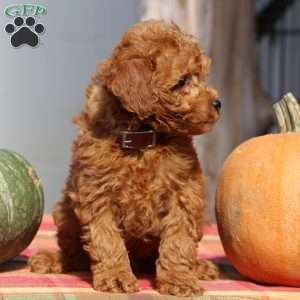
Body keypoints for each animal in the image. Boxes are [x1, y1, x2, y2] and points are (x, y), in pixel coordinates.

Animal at [28, 19, 220, 296]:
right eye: (182, 82)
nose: (218, 103)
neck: (142, 138)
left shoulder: (184, 192)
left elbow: (178, 240)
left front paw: (179, 280)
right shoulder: (97, 193)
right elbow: (106, 240)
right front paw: (116, 278)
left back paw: (200, 266)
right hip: (65, 213)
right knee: (76, 253)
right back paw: (53, 260)